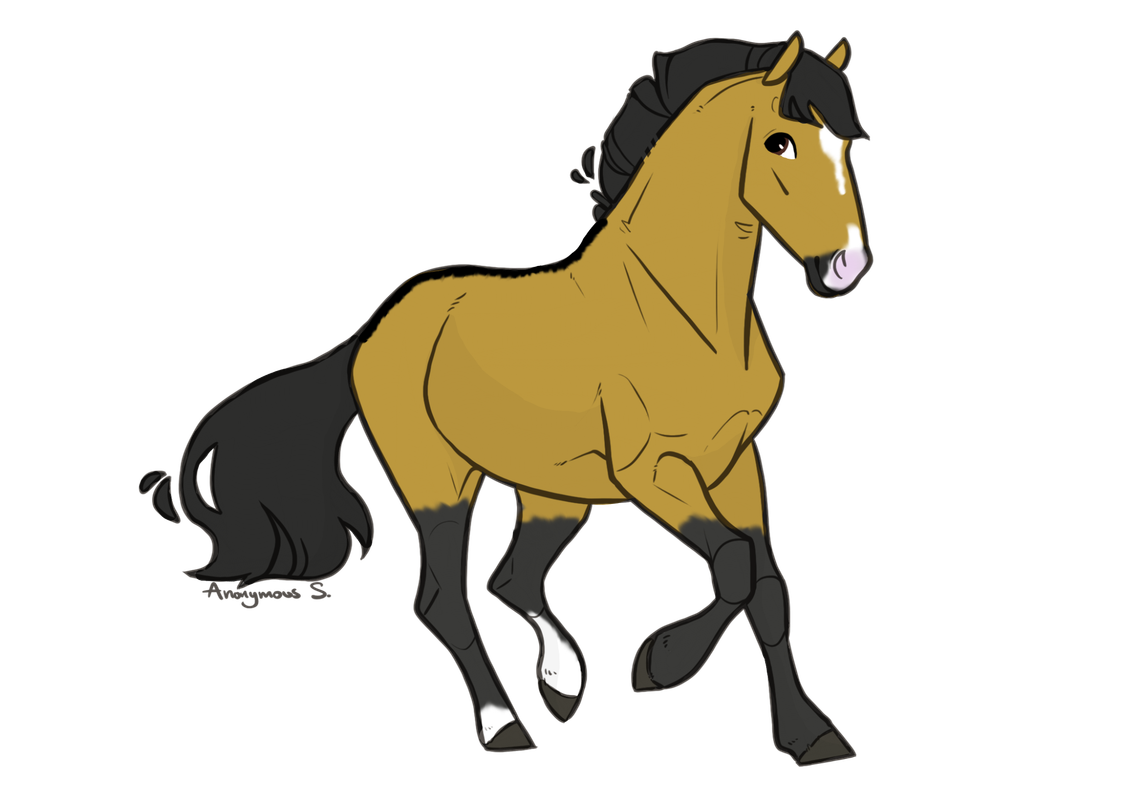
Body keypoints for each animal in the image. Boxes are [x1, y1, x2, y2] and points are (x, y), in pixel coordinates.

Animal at [139, 33, 872, 764]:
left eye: (845, 143)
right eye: (779, 141)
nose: (846, 268)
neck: (683, 317)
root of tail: (372, 334)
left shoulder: (734, 465)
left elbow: (767, 586)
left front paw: (811, 736)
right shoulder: (652, 472)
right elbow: (734, 564)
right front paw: (659, 664)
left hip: (556, 494)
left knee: (510, 578)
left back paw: (562, 684)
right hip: (439, 483)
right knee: (444, 598)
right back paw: (506, 725)